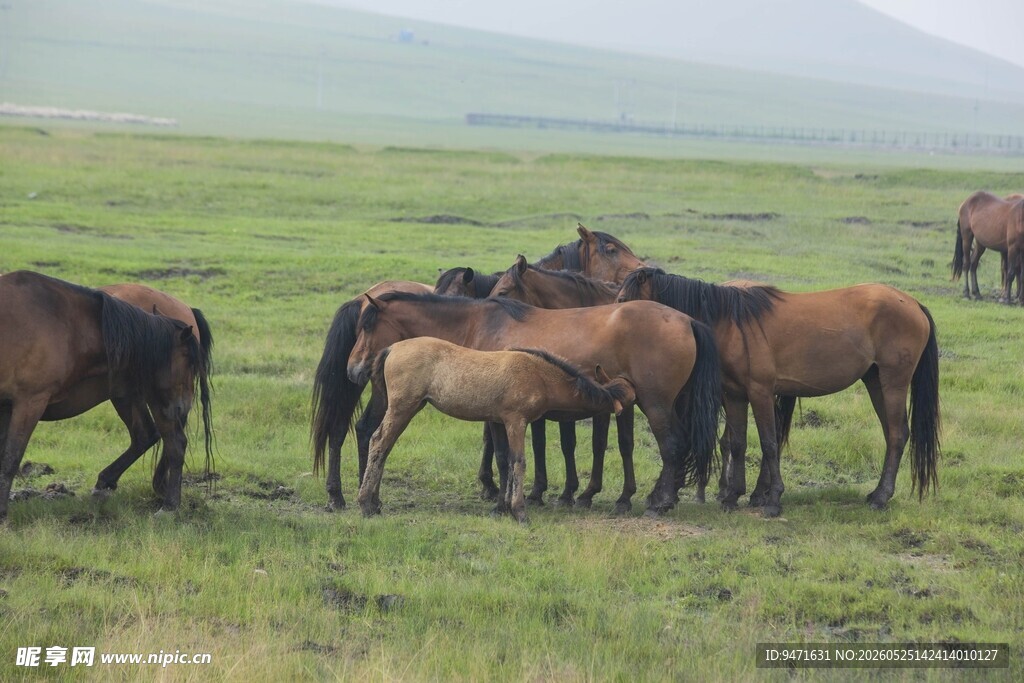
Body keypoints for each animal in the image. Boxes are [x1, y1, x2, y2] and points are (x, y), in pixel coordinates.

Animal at [358, 337, 636, 523]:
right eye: (630, 400)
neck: (539, 375)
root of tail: (393, 348)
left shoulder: (500, 422)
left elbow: (505, 461)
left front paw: (503, 507)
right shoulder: (516, 421)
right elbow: (519, 461)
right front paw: (519, 511)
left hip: (410, 408)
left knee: (385, 446)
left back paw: (375, 501)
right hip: (402, 407)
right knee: (379, 441)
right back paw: (365, 504)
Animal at [617, 267, 940, 517]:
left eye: (623, 300)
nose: (613, 318)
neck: (732, 323)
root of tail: (914, 304)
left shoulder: (760, 392)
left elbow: (769, 444)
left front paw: (772, 500)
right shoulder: (734, 396)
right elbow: (738, 444)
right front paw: (732, 497)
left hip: (894, 382)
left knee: (897, 435)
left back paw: (881, 498)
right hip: (875, 382)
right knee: (892, 434)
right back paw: (876, 493)